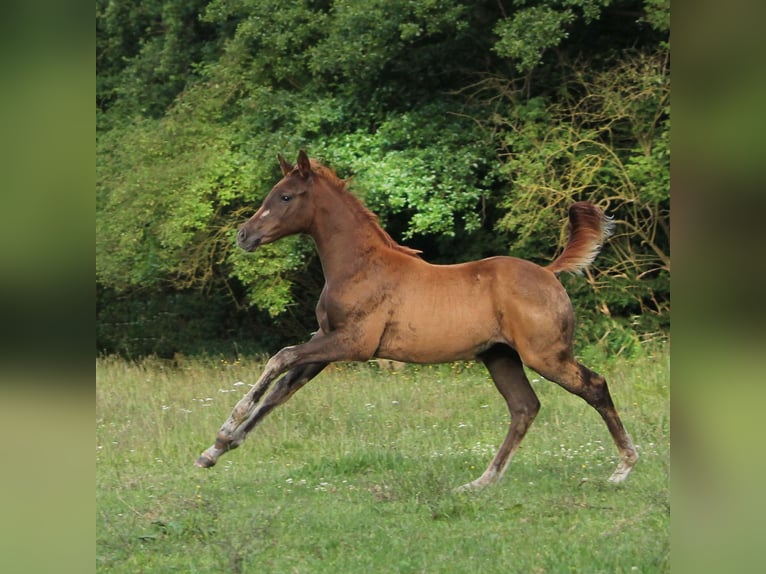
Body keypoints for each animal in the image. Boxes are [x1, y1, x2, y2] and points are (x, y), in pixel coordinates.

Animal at [195, 150, 640, 490]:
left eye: (285, 196)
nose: (244, 236)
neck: (360, 266)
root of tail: (549, 273)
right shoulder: (325, 344)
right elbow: (280, 392)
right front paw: (213, 451)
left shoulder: (352, 344)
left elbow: (279, 358)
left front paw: (226, 429)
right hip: (499, 357)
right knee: (524, 408)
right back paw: (481, 482)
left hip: (545, 355)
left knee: (594, 387)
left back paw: (623, 467)